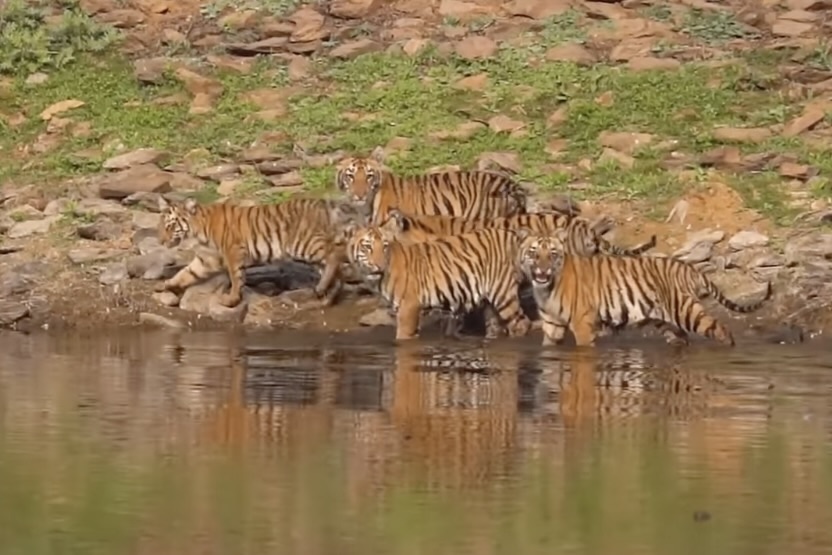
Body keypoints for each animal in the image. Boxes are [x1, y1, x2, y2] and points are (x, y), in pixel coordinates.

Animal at [155, 196, 362, 308]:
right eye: (161, 225)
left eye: (170, 226)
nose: (161, 241)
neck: (198, 229)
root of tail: (323, 205)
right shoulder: (207, 259)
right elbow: (186, 273)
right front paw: (165, 285)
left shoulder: (233, 252)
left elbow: (236, 277)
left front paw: (231, 300)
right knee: (335, 269)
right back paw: (326, 296)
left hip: (303, 244)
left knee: (335, 254)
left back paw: (322, 288)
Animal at [346, 224, 531, 341]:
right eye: (367, 247)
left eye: (384, 246)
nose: (379, 265)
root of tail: (512, 234)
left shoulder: (408, 307)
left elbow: (403, 337)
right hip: (490, 304)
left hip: (503, 294)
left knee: (522, 324)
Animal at [517, 229, 773, 347]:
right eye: (533, 253)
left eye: (552, 254)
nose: (542, 271)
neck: (546, 288)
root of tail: (689, 267)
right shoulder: (552, 324)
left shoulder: (582, 323)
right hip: (667, 321)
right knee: (683, 339)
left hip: (687, 311)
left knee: (721, 329)